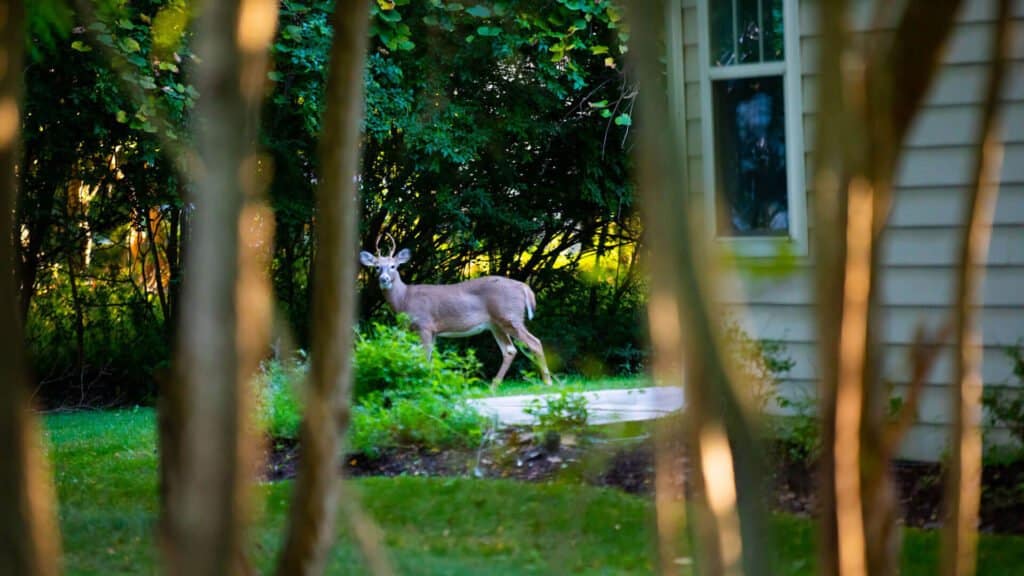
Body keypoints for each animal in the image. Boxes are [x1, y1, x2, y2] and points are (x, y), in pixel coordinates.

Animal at [360, 231, 552, 385]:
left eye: (393, 266)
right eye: (377, 267)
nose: (384, 279)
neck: (404, 298)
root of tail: (524, 287)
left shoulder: (425, 325)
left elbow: (424, 357)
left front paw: (425, 384)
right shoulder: (431, 331)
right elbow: (428, 358)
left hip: (509, 316)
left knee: (534, 342)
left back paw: (547, 383)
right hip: (496, 324)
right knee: (510, 350)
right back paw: (493, 386)